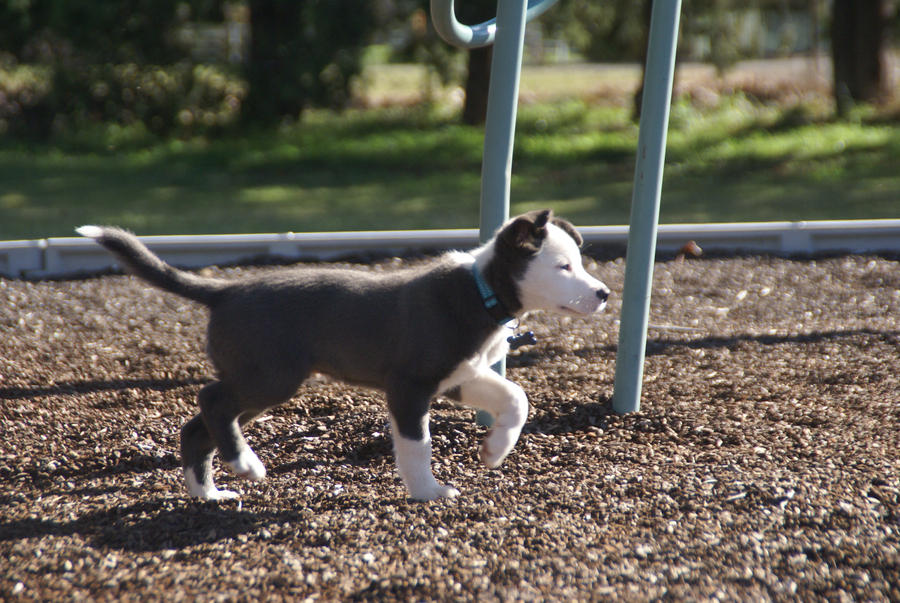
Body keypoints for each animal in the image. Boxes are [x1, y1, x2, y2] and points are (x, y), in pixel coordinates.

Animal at [79, 210, 612, 502]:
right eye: (563, 267)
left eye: (578, 263)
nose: (605, 294)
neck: (482, 292)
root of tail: (226, 291)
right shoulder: (409, 386)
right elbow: (417, 444)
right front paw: (427, 491)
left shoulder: (460, 374)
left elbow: (516, 396)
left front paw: (494, 451)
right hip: (271, 376)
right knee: (210, 401)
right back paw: (246, 465)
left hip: (258, 382)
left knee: (200, 424)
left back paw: (207, 491)